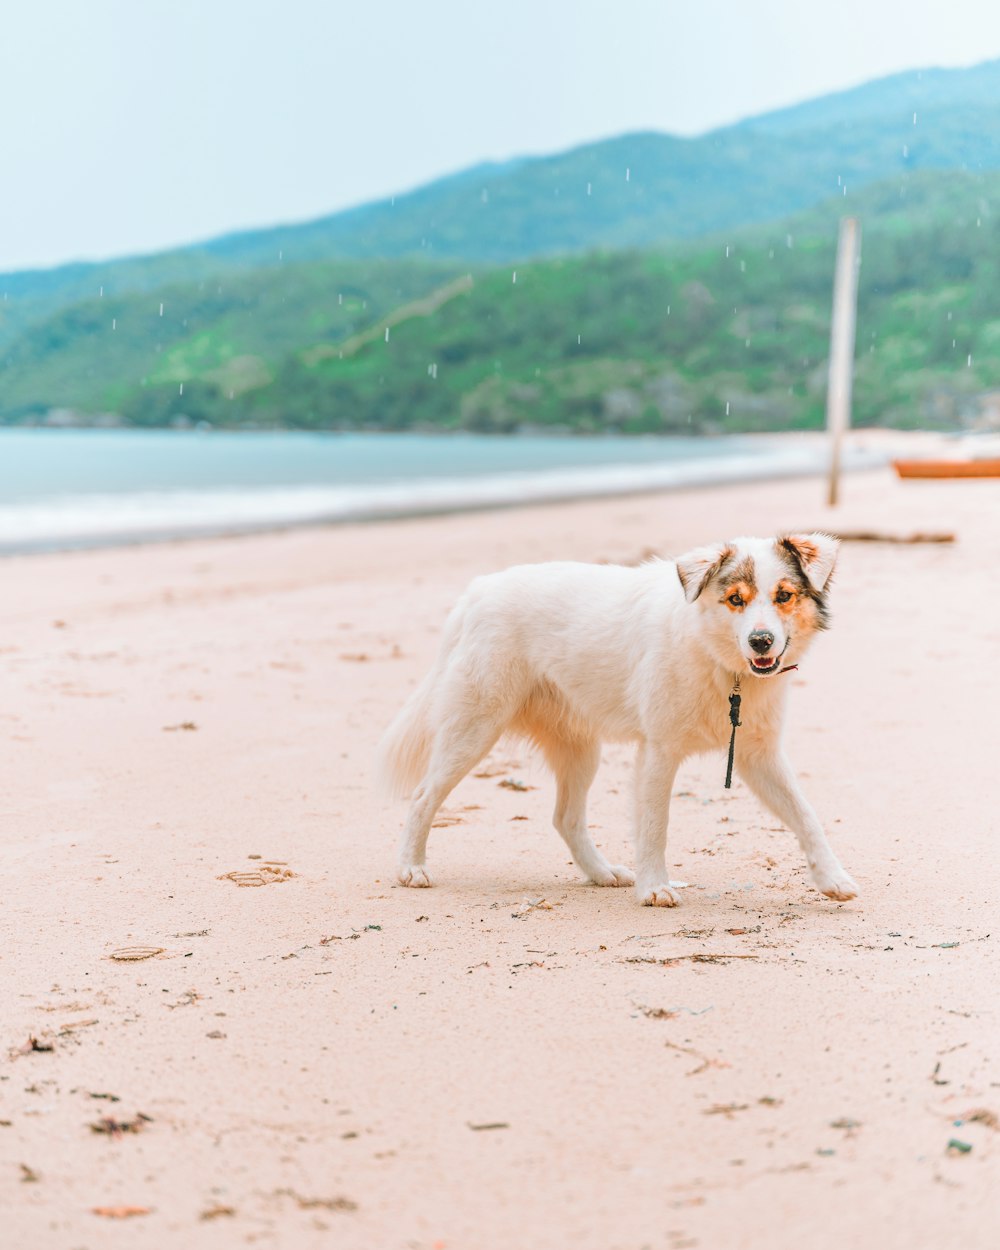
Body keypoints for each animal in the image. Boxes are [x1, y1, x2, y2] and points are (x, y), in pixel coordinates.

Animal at [377, 530, 860, 910]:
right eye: (736, 600)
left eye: (784, 596)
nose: (761, 641)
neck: (719, 661)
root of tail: (477, 592)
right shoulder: (659, 753)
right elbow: (655, 826)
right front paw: (654, 888)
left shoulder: (759, 757)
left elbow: (806, 816)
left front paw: (832, 879)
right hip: (474, 730)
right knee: (423, 796)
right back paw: (410, 868)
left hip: (579, 749)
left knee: (565, 818)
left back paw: (601, 872)